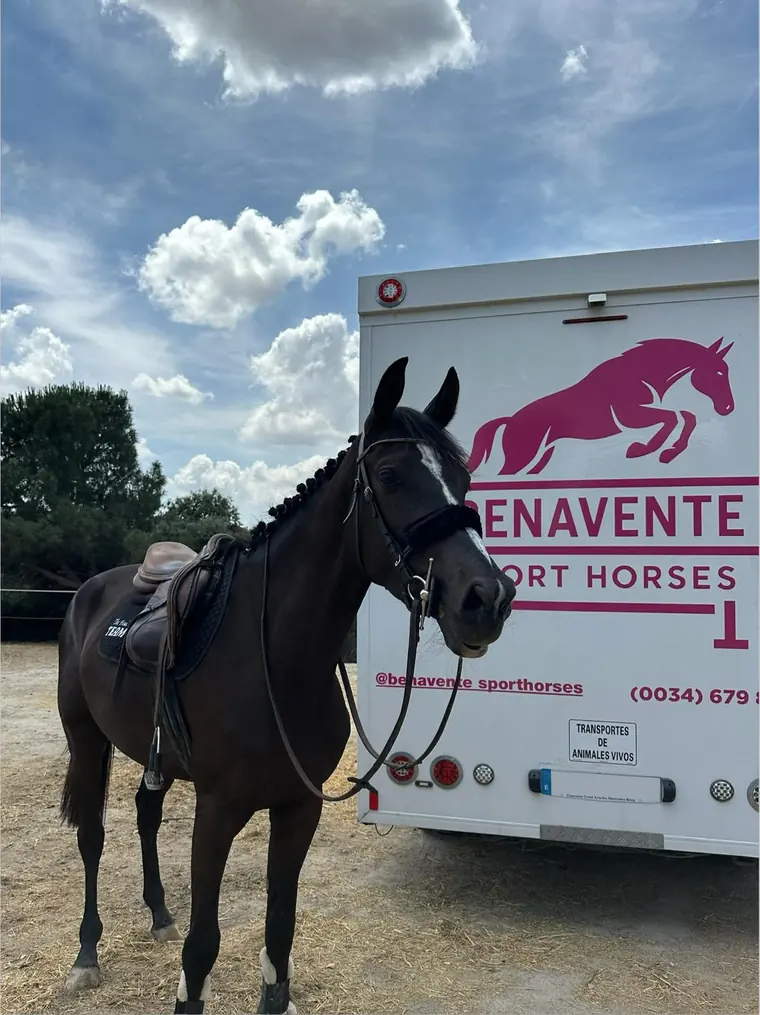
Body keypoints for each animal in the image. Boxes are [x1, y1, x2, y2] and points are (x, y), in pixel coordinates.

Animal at [56, 356, 516, 1014]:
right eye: (391, 475)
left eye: (464, 477)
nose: (488, 598)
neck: (274, 656)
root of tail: (89, 591)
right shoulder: (217, 810)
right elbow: (203, 946)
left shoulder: (300, 807)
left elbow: (280, 927)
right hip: (86, 740)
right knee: (92, 836)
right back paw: (86, 955)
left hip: (152, 756)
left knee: (145, 814)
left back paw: (159, 913)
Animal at [466, 336, 735, 476]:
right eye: (719, 373)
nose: (728, 409)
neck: (639, 375)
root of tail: (511, 420)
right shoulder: (630, 416)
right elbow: (672, 417)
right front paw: (642, 449)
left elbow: (685, 416)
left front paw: (667, 451)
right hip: (522, 457)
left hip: (541, 456)